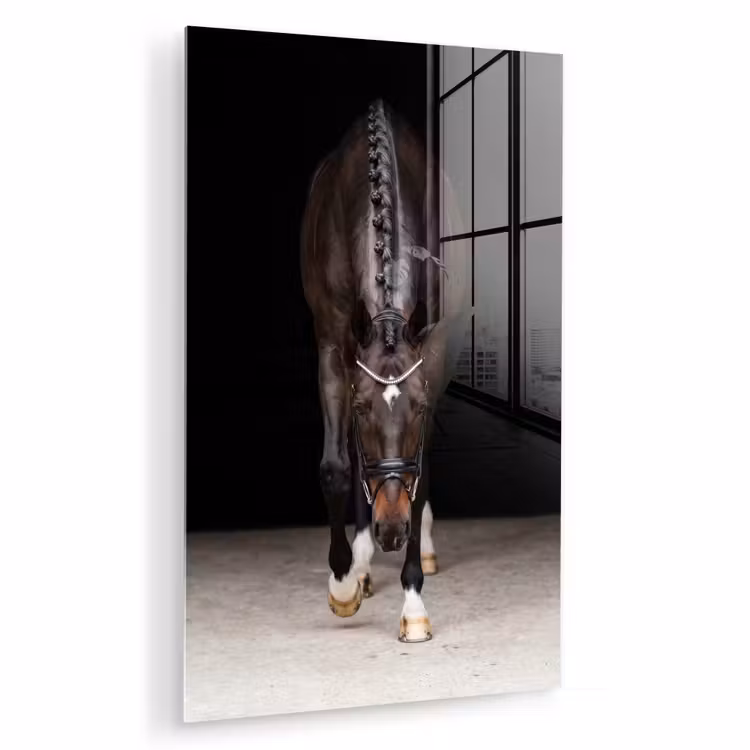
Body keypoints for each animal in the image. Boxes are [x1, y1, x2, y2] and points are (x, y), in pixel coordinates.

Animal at [301, 99, 468, 642]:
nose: (391, 530)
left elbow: (420, 471)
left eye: (417, 406)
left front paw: (413, 602)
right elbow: (336, 467)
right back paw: (362, 561)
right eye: (359, 407)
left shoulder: (434, 352)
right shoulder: (333, 344)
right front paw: (343, 583)